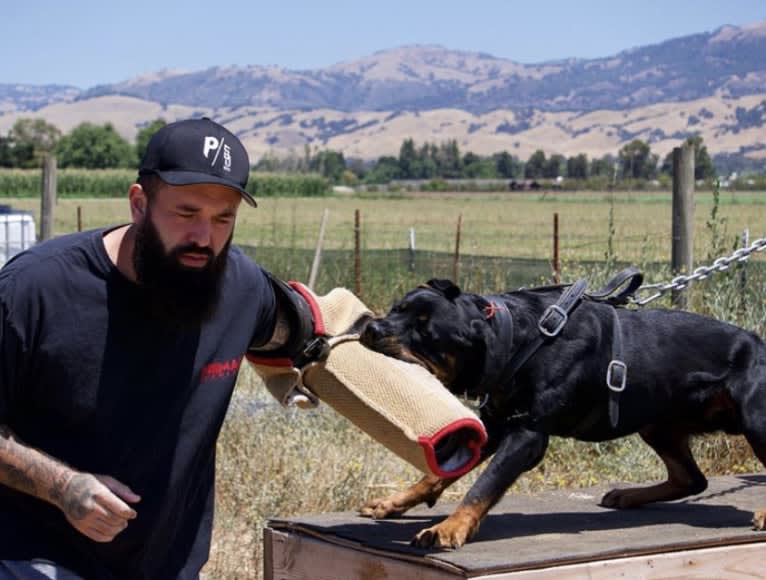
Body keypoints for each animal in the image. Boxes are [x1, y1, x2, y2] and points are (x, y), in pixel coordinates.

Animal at [358, 276, 766, 548]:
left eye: (425, 333)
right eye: (398, 308)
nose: (372, 327)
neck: (517, 340)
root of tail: (759, 342)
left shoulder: (528, 436)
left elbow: (483, 485)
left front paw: (447, 528)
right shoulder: (496, 424)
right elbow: (435, 475)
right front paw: (393, 504)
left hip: (755, 421)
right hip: (658, 425)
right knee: (692, 479)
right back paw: (628, 496)